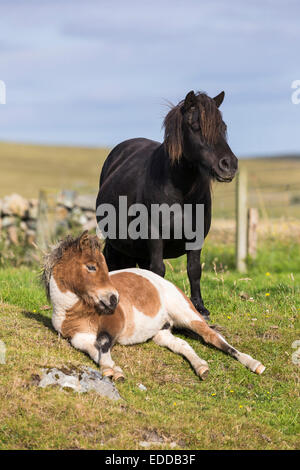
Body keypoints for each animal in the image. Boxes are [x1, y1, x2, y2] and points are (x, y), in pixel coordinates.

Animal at [42, 231, 264, 382]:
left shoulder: (114, 324)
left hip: (189, 315)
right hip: (161, 333)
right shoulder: (78, 338)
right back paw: (202, 368)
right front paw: (113, 369)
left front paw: (112, 371)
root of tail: (163, 281)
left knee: (214, 337)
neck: (76, 311)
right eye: (91, 267)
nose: (114, 299)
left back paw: (254, 365)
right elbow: (94, 349)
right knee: (182, 345)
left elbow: (103, 343)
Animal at [97, 90, 238, 322]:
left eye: (223, 126)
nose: (228, 165)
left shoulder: (196, 236)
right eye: (195, 126)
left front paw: (200, 308)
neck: (180, 190)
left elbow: (193, 270)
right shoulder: (154, 235)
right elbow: (159, 269)